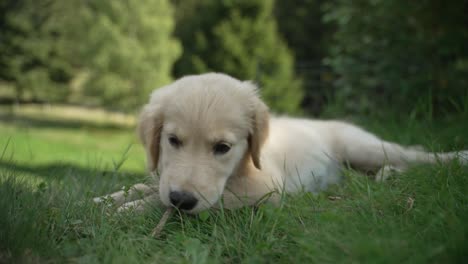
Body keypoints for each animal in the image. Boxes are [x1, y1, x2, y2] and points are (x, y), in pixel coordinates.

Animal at [93, 73, 466, 213]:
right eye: (172, 140)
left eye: (223, 148)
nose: (182, 199)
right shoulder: (163, 176)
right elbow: (142, 186)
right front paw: (103, 200)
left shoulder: (264, 188)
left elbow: (182, 201)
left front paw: (128, 210)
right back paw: (386, 176)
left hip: (364, 147)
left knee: (416, 157)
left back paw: (457, 157)